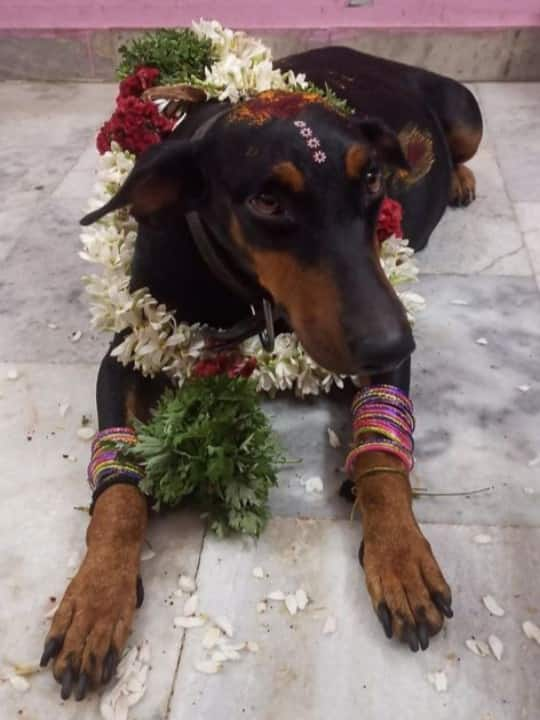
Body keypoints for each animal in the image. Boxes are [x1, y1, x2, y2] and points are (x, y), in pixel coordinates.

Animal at [40, 45, 484, 696]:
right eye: (266, 202)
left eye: (371, 179)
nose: (392, 341)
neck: (248, 295)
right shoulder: (129, 346)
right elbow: (118, 492)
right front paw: (95, 601)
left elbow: (381, 457)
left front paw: (402, 558)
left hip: (465, 116)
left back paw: (459, 178)